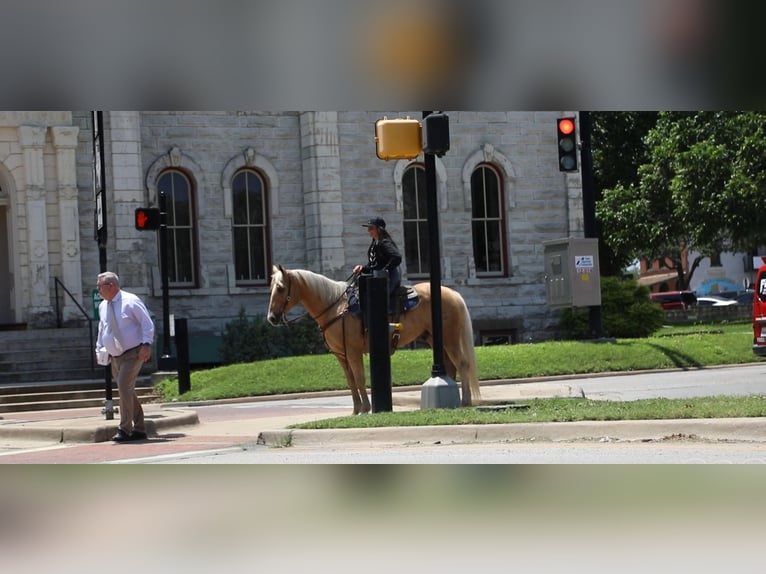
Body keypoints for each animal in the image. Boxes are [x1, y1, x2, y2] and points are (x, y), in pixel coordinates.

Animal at [266, 266, 480, 414]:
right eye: (271, 287)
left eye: (281, 288)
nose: (272, 318)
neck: (335, 307)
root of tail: (453, 293)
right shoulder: (341, 355)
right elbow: (351, 380)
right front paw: (355, 410)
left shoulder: (353, 352)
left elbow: (360, 378)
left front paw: (366, 408)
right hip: (436, 339)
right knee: (451, 366)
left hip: (450, 339)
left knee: (462, 363)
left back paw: (465, 401)